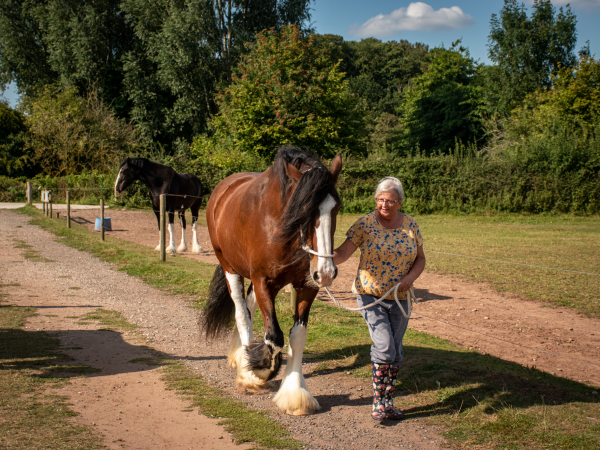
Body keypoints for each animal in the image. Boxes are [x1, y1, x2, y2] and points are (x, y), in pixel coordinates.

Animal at [202, 147, 342, 414]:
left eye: (336, 207)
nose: (327, 272)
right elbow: (274, 337)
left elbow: (297, 336)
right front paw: (259, 371)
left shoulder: (306, 286)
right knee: (242, 313)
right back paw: (247, 370)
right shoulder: (263, 282)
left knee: (249, 307)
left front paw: (294, 392)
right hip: (230, 268)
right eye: (305, 210)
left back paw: (241, 354)